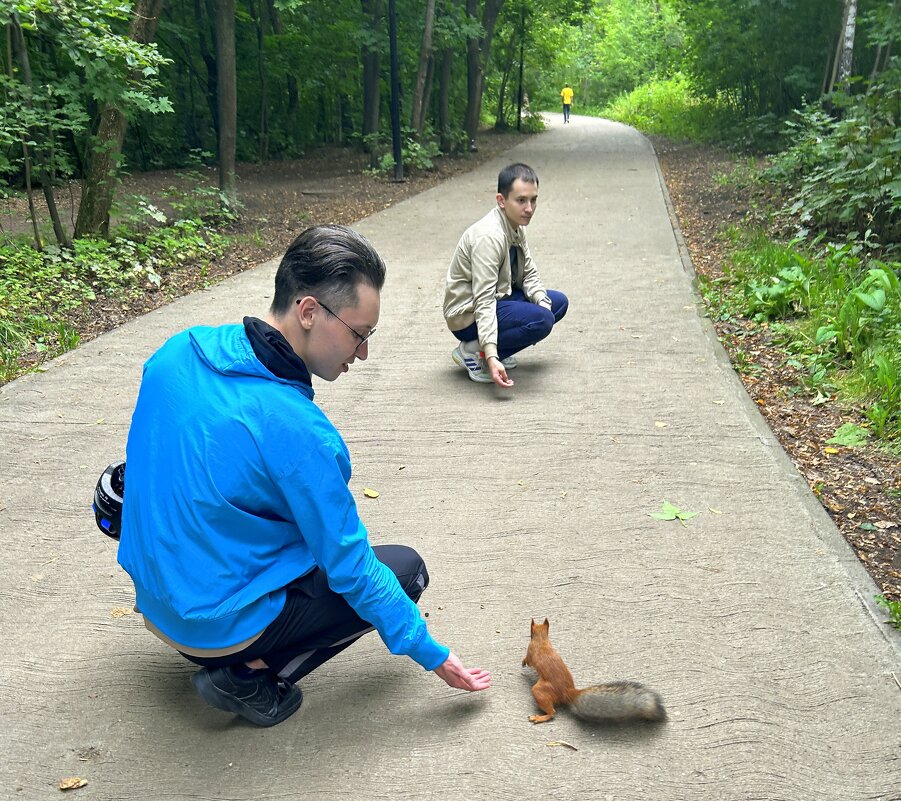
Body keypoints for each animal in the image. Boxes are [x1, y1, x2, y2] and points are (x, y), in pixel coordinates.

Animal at [524, 616, 664, 720]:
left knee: (552, 712)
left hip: (540, 690)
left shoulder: (530, 651)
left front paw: (523, 662)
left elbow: (528, 660)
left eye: (530, 633)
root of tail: (568, 692)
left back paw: (539, 718)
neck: (541, 640)